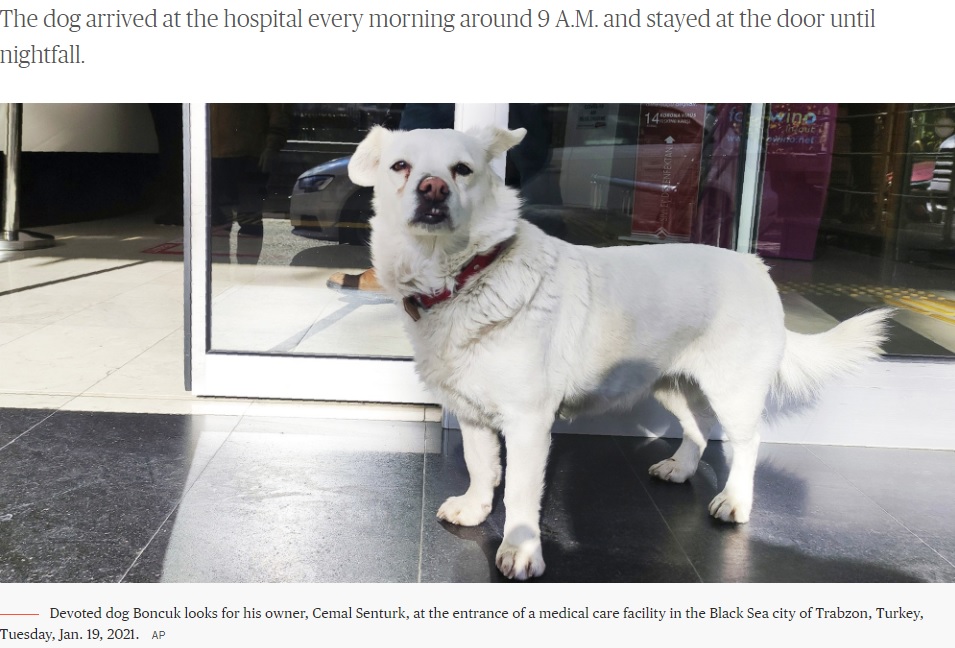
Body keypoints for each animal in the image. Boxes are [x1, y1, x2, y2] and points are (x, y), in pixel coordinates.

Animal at [352, 124, 896, 580]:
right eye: (401, 166)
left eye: (462, 170)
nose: (432, 189)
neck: (463, 276)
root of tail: (756, 265)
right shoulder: (472, 412)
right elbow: (481, 466)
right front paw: (474, 509)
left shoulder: (528, 421)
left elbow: (522, 493)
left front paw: (521, 552)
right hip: (671, 383)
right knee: (698, 428)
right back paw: (680, 468)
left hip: (733, 390)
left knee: (747, 443)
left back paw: (735, 502)